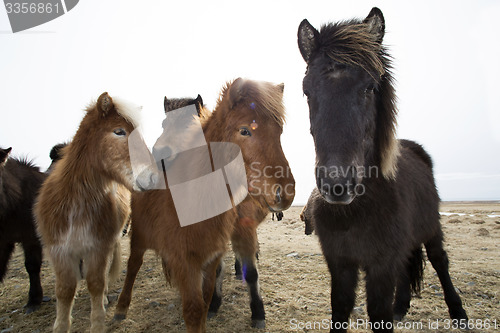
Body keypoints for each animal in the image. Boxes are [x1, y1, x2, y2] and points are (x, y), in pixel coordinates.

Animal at [34, 92, 155, 332]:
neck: (76, 205)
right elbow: (65, 291)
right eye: (119, 131)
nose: (154, 176)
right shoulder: (60, 252)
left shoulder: (98, 248)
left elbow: (97, 284)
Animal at [115, 78, 294, 332]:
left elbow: (249, 274)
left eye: (279, 132)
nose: (286, 192)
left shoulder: (241, 229)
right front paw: (215, 304)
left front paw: (257, 311)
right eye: (163, 123)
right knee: (133, 264)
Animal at [296, 6, 468, 330]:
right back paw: (401, 306)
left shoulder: (381, 266)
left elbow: (378, 313)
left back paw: (458, 313)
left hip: (432, 228)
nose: (337, 185)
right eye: (307, 92)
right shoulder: (340, 264)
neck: (357, 212)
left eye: (370, 87)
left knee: (440, 261)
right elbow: (340, 309)